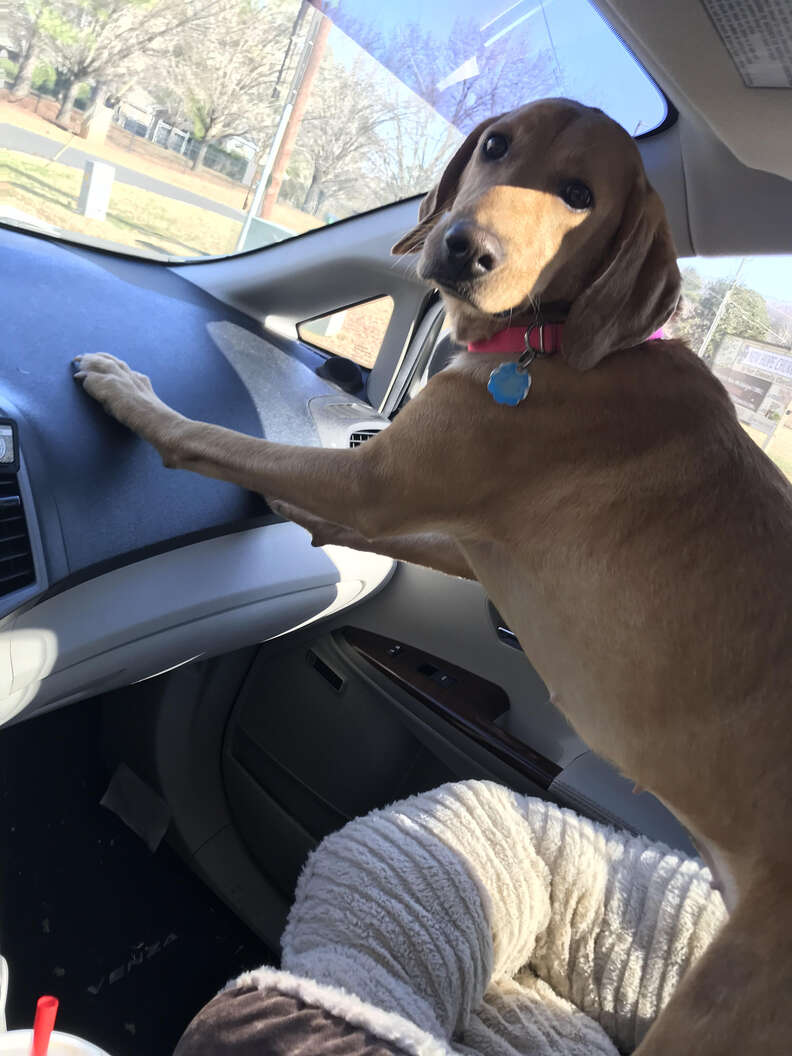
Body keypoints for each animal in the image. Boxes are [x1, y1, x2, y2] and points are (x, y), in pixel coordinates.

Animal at [74, 97, 792, 1047]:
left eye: (579, 195)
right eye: (496, 144)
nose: (462, 248)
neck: (553, 345)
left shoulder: (377, 486)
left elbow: (217, 439)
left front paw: (129, 393)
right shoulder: (449, 536)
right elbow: (348, 515)